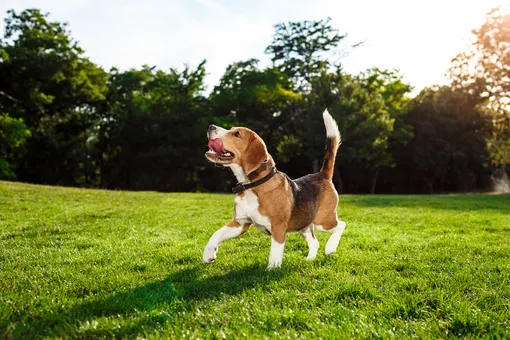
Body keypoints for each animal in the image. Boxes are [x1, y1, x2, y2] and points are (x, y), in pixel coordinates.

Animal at [203, 109, 346, 268]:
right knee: (315, 242)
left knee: (341, 225)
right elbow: (216, 234)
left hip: (323, 221)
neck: (252, 185)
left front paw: (272, 269)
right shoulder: (240, 223)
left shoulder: (278, 227)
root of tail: (322, 174)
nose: (210, 126)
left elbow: (275, 253)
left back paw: (330, 247)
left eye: (236, 134)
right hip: (304, 225)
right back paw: (309, 260)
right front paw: (208, 254)